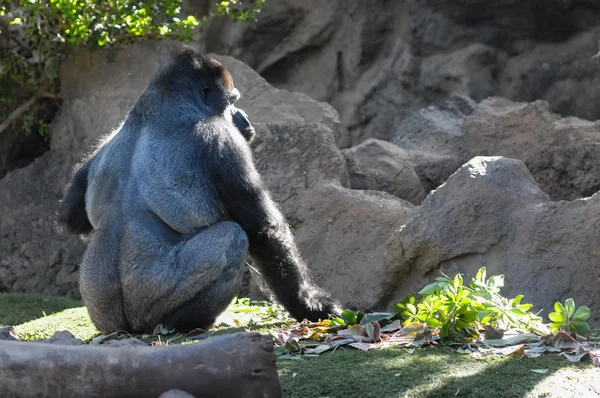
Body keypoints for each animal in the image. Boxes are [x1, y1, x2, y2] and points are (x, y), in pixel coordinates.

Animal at [59, 43, 342, 334]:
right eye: (231, 101)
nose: (243, 117)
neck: (160, 107)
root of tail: (124, 326)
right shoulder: (223, 139)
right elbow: (264, 231)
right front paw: (309, 305)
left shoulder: (105, 141)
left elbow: (71, 217)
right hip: (146, 303)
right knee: (233, 238)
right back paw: (184, 323)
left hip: (101, 313)